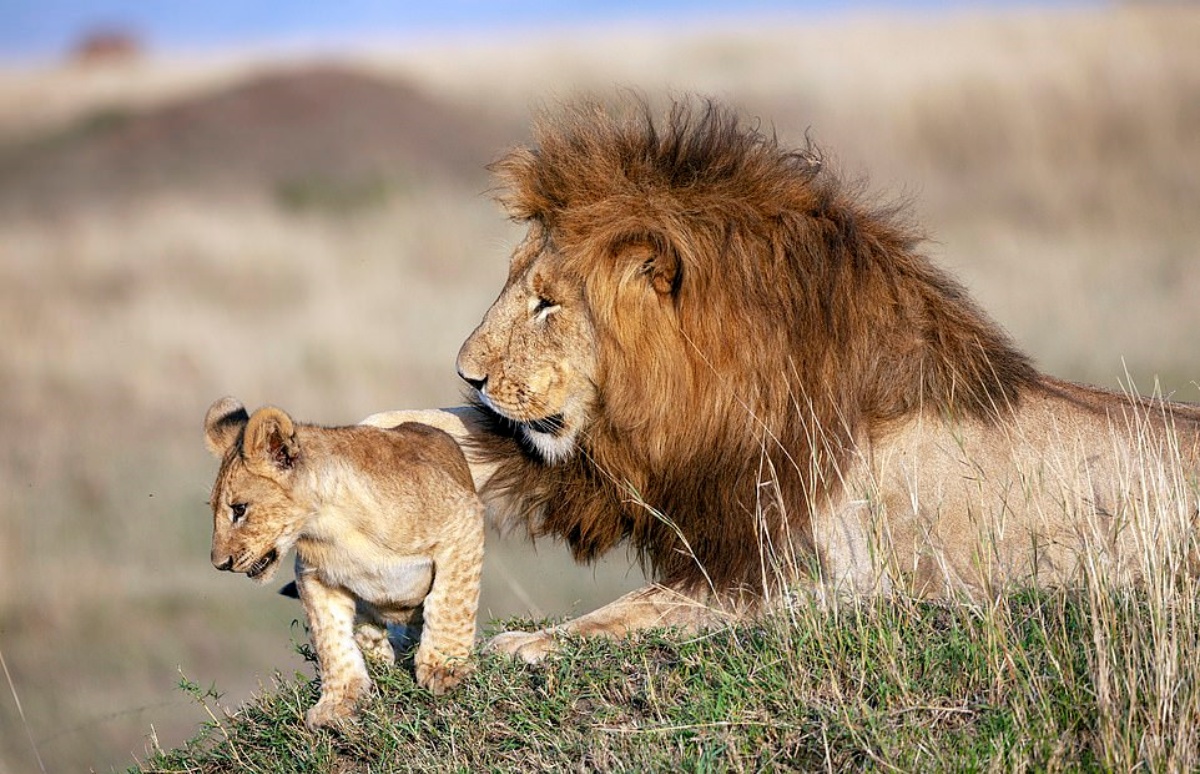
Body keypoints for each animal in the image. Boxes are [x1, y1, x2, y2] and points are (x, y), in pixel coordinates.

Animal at [364, 96, 1200, 662]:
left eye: (547, 303)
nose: (469, 372)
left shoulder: (833, 578)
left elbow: (652, 605)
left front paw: (533, 644)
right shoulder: (659, 483)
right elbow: (479, 442)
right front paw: (375, 442)